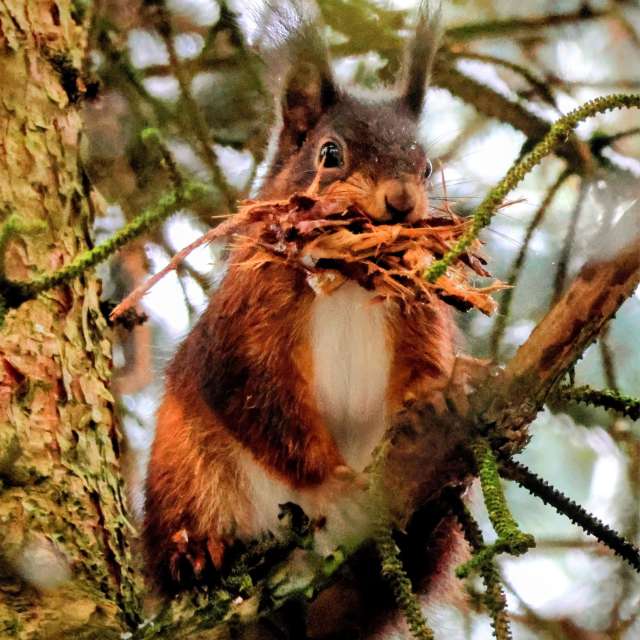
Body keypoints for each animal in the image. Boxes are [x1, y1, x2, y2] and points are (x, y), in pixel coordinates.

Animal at [143, 2, 460, 599]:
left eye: (427, 166)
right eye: (329, 153)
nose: (402, 200)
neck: (351, 279)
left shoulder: (421, 311)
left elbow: (428, 358)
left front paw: (434, 394)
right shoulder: (244, 334)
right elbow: (264, 407)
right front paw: (331, 484)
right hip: (185, 469)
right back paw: (196, 555)